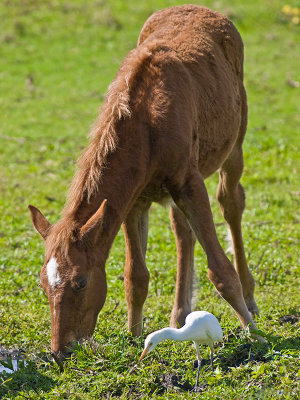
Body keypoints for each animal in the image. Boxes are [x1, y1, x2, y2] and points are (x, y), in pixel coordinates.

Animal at [28, 4, 260, 360]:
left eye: (81, 281)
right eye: (43, 283)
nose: (60, 351)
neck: (147, 124)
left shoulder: (189, 182)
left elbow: (220, 271)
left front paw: (254, 334)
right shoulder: (134, 200)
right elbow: (135, 277)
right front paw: (134, 336)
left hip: (234, 146)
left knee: (231, 203)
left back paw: (249, 300)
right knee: (182, 231)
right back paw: (179, 313)